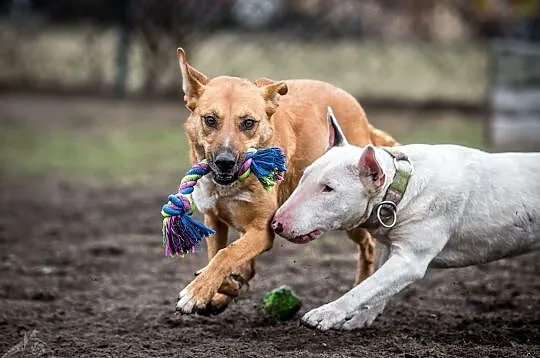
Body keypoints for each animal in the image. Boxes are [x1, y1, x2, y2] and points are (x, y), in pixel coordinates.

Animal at [175, 47, 398, 314]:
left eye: (248, 123)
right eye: (210, 119)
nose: (225, 161)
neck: (230, 187)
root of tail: (361, 115)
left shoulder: (262, 230)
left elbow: (225, 256)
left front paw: (197, 292)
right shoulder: (215, 219)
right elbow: (218, 257)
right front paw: (221, 288)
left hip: (352, 218)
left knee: (368, 246)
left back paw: (361, 284)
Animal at [274, 108, 540, 330]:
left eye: (328, 188)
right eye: (304, 176)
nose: (276, 224)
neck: (399, 186)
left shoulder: (411, 258)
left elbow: (366, 288)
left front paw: (323, 315)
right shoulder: (390, 248)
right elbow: (377, 287)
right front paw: (357, 322)